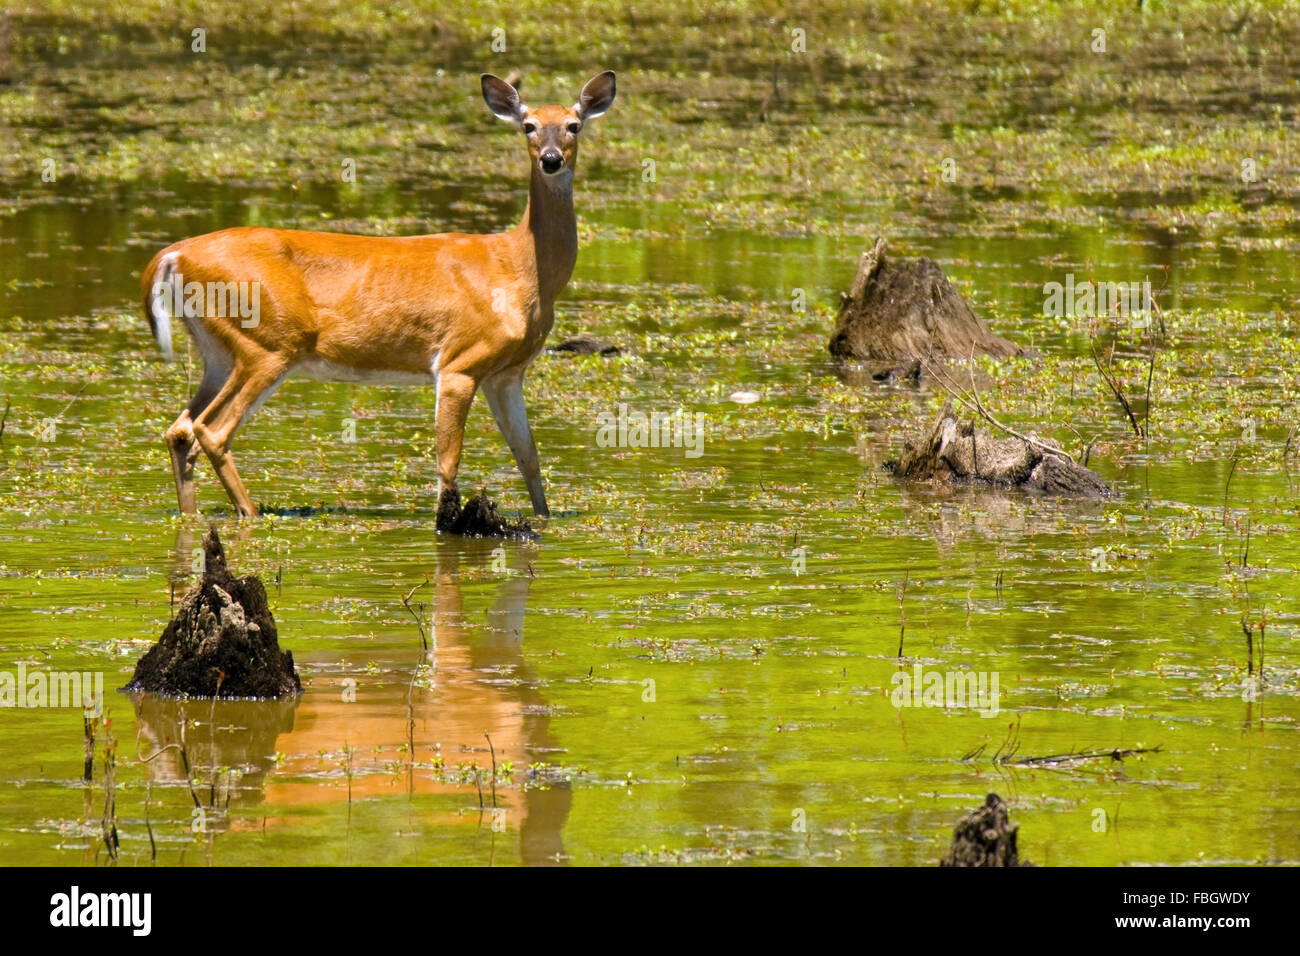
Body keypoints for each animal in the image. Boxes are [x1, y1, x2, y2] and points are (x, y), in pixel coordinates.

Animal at [139, 71, 616, 530]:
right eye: (528, 125)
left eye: (573, 125)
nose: (551, 159)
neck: (519, 269)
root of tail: (172, 255)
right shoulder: (459, 361)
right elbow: (448, 465)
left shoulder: (507, 373)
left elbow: (529, 459)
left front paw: (545, 522)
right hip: (268, 343)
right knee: (212, 431)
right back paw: (253, 515)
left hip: (219, 351)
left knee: (180, 430)